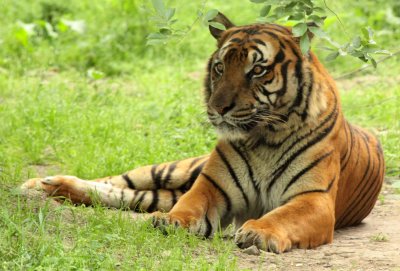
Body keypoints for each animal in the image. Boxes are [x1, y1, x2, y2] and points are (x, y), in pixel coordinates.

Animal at [21, 12, 384, 254]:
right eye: (220, 67)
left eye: (257, 70)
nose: (218, 107)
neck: (263, 137)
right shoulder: (211, 186)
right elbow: (189, 207)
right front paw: (170, 222)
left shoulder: (314, 199)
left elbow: (283, 215)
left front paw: (258, 232)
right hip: (173, 170)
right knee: (118, 182)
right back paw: (39, 184)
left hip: (162, 191)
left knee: (127, 196)